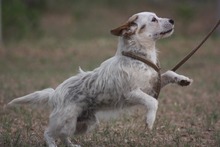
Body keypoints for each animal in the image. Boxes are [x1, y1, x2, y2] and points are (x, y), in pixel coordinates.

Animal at [7, 12, 192, 146]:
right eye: (154, 19)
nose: (172, 20)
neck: (138, 57)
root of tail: (54, 93)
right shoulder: (132, 93)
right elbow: (153, 102)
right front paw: (149, 120)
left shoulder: (153, 84)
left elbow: (169, 74)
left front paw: (182, 79)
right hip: (65, 120)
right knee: (49, 133)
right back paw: (52, 144)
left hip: (83, 124)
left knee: (64, 136)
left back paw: (72, 145)